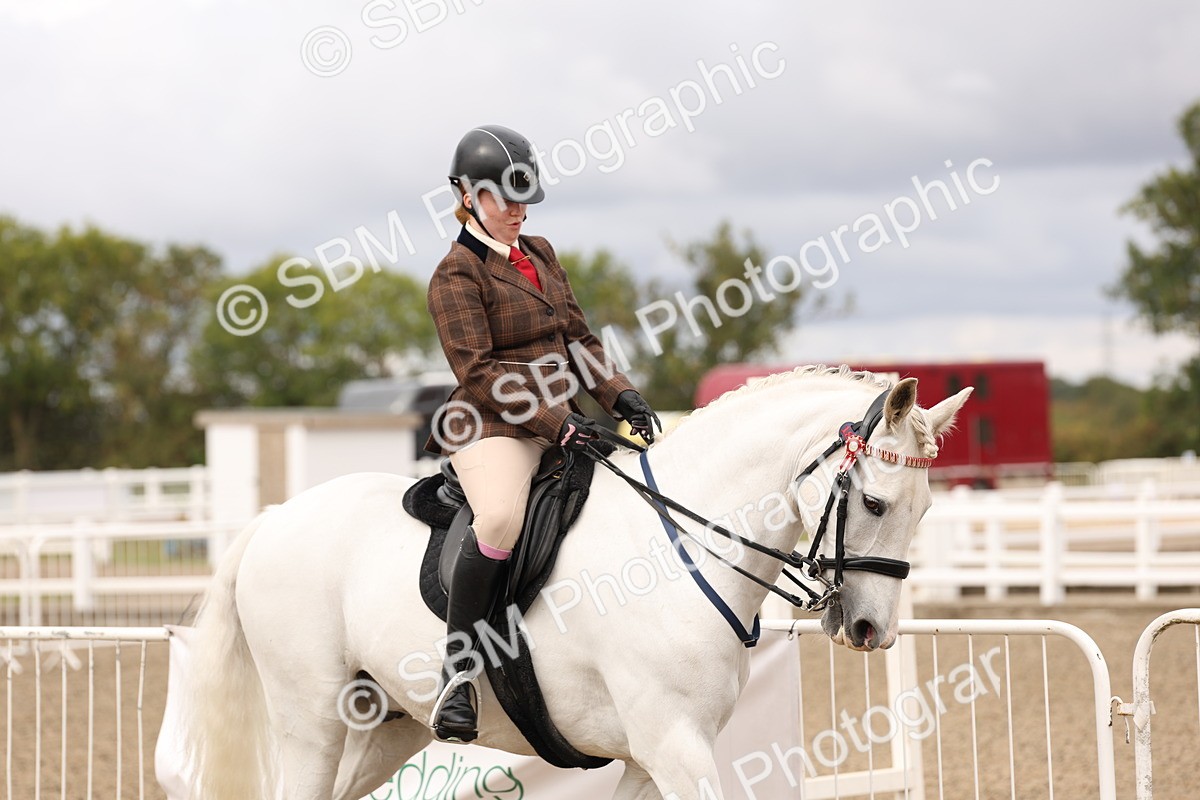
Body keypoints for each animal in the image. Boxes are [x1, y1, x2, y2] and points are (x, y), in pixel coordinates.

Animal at [184, 365, 971, 800]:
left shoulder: (651, 757)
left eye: (926, 509)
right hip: (313, 721)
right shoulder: (674, 745)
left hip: (385, 728)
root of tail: (272, 519)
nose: (871, 630)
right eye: (875, 504)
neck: (680, 552)